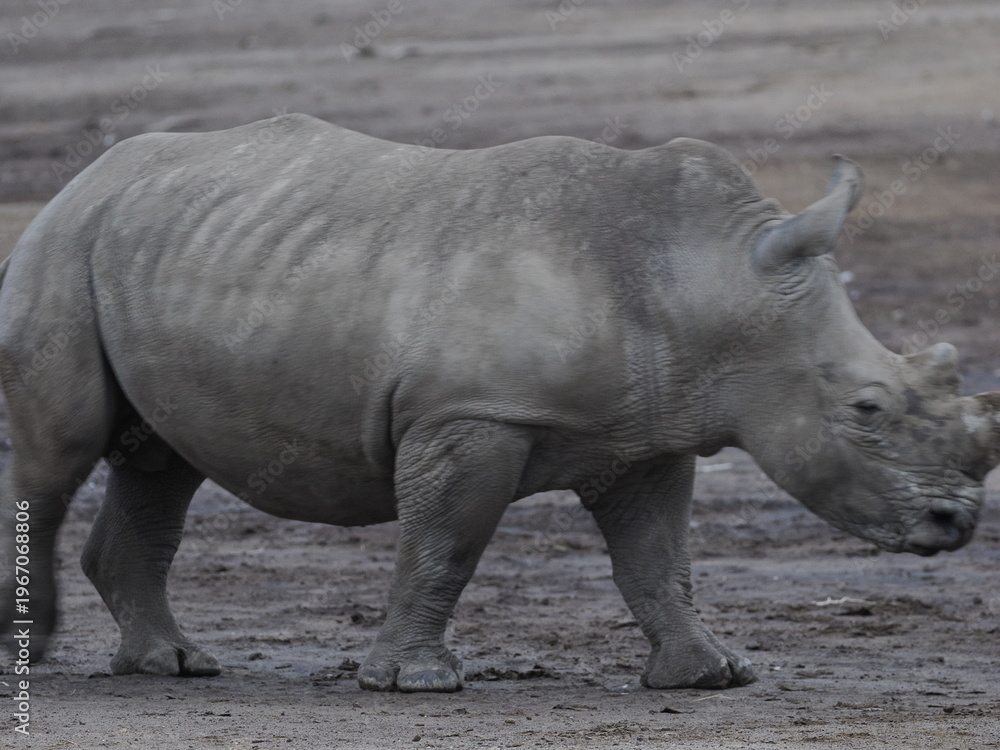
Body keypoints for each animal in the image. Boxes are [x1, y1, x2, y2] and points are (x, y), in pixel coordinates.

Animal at [2, 114, 999, 692]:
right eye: (868, 410)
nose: (956, 523)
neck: (706, 279)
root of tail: (89, 175)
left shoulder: (651, 431)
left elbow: (657, 560)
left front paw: (710, 677)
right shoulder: (471, 413)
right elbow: (447, 542)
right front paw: (416, 685)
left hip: (155, 247)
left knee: (161, 462)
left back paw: (173, 666)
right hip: (62, 243)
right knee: (62, 453)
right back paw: (38, 652)